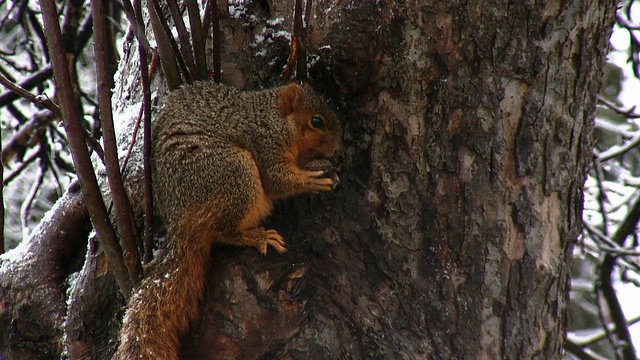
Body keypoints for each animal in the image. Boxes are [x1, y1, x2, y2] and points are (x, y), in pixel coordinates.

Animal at [115, 81, 344, 360]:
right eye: (316, 121)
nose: (339, 151)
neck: (271, 118)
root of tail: (180, 224)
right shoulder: (265, 144)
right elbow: (277, 181)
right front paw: (312, 178)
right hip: (234, 172)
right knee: (223, 232)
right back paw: (255, 236)